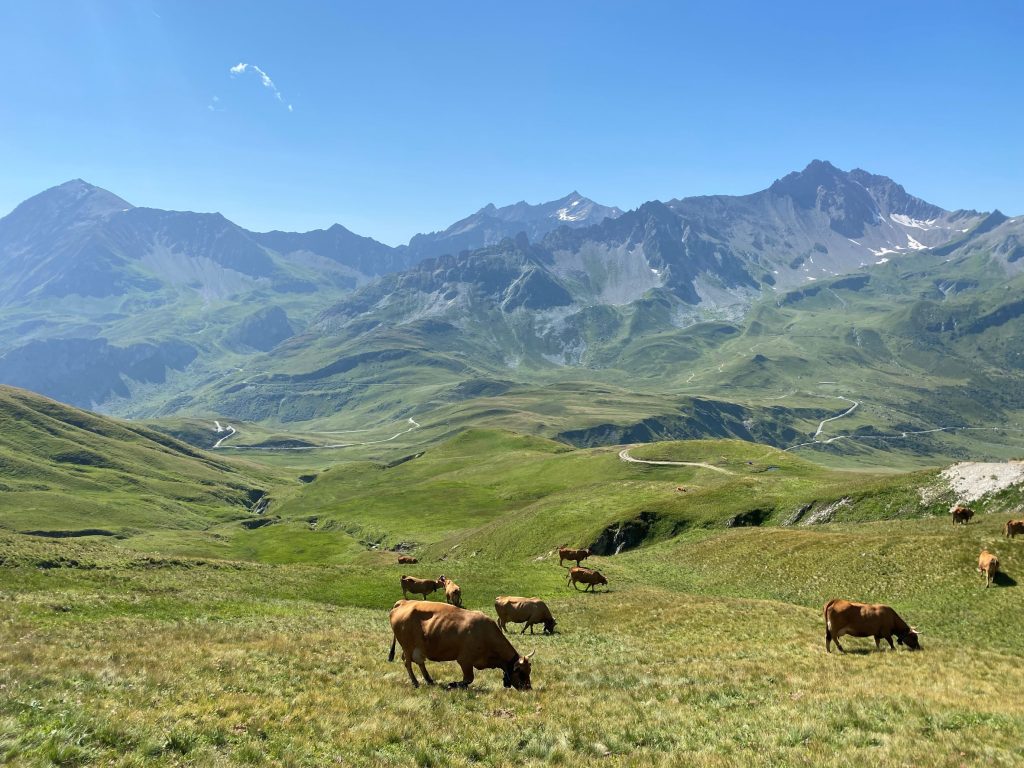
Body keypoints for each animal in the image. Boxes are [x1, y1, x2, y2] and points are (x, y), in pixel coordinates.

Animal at [387, 602, 536, 692]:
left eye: (529, 671)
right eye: (521, 673)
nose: (528, 688)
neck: (485, 633)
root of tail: (404, 602)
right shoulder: (465, 660)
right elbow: (468, 678)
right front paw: (452, 684)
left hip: (417, 648)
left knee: (419, 662)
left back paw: (429, 680)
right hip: (407, 646)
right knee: (407, 663)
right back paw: (415, 682)